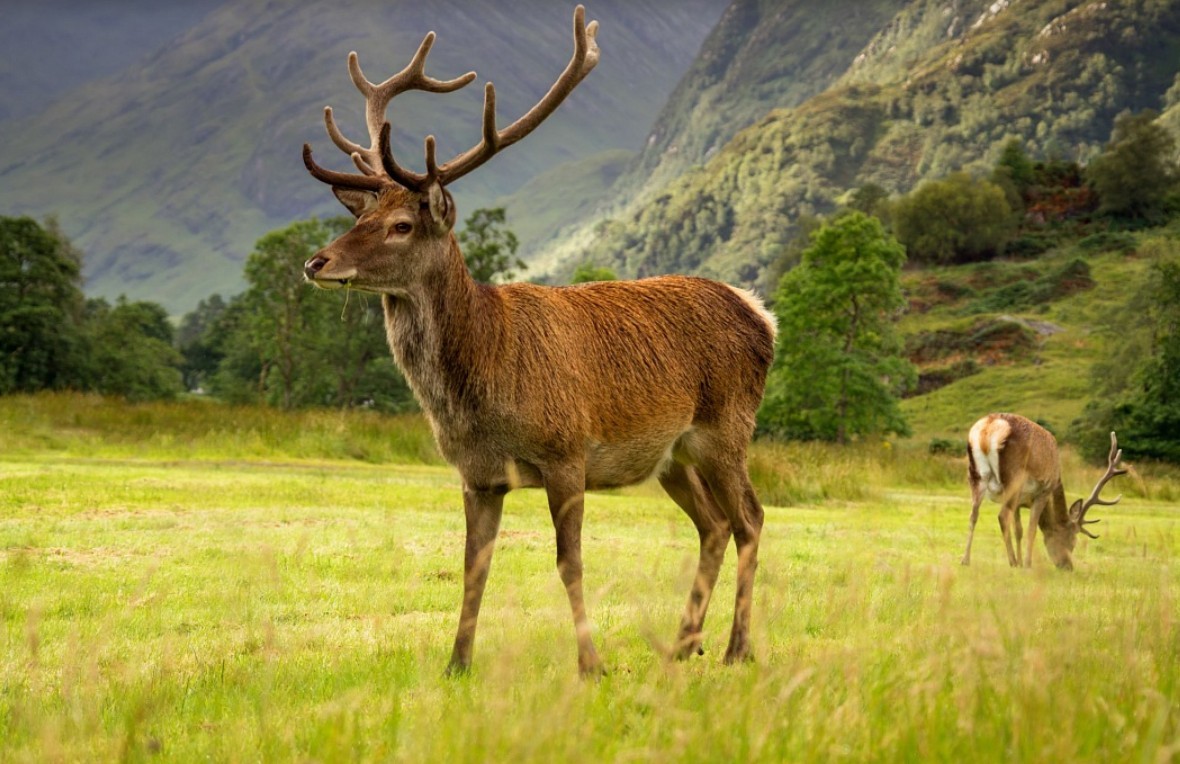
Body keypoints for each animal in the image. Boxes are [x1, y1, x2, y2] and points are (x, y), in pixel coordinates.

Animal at [297, 5, 774, 675]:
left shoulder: (566, 451)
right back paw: (684, 645)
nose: (317, 262)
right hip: (672, 455)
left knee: (751, 517)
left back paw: (735, 648)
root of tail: (760, 313)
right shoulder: (476, 474)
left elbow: (568, 561)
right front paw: (457, 664)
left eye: (401, 225)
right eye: (358, 217)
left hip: (726, 427)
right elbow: (474, 567)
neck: (481, 389)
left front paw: (592, 664)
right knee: (714, 525)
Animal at [958, 415, 1123, 571]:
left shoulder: (1019, 502)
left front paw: (1021, 561)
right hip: (1014, 477)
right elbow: (1032, 529)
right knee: (1002, 515)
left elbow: (1018, 530)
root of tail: (990, 426)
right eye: (1072, 542)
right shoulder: (1043, 491)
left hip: (975, 475)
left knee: (973, 515)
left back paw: (965, 560)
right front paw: (1026, 564)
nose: (1068, 566)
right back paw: (1012, 562)